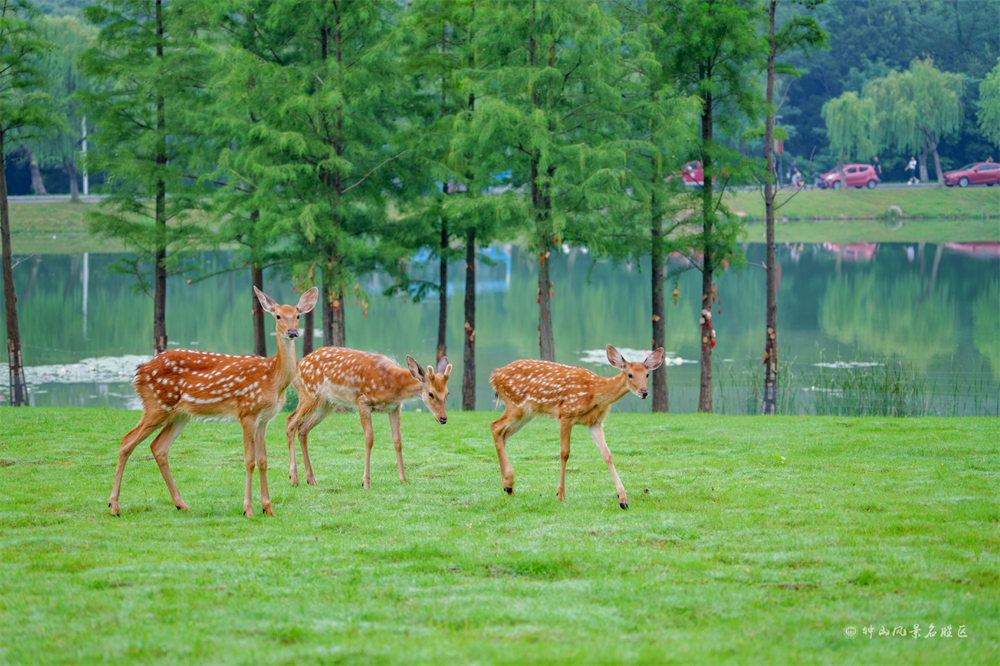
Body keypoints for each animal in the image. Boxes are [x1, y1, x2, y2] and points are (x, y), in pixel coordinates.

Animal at [106, 282, 316, 516]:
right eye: (278, 316)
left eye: (297, 315)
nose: (292, 332)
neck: (273, 379)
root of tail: (138, 372)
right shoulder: (247, 412)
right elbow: (249, 460)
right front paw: (248, 510)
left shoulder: (264, 419)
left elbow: (263, 460)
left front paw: (268, 508)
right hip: (157, 405)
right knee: (127, 440)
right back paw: (114, 506)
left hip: (180, 415)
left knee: (158, 447)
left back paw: (181, 504)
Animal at [284, 350, 452, 486]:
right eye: (431, 394)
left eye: (447, 393)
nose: (443, 419)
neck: (392, 385)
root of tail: (298, 365)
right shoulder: (363, 401)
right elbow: (369, 439)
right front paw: (366, 481)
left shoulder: (394, 408)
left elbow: (397, 441)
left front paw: (403, 479)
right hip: (310, 393)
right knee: (290, 420)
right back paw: (294, 478)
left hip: (327, 404)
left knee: (303, 428)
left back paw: (311, 479)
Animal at [486, 342, 660, 508]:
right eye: (630, 374)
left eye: (647, 374)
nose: (644, 392)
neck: (595, 394)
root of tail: (494, 376)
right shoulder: (566, 414)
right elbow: (564, 453)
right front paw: (560, 494)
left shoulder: (596, 423)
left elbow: (607, 454)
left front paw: (623, 499)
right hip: (516, 405)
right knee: (495, 426)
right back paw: (509, 483)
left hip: (527, 413)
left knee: (504, 434)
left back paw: (508, 487)